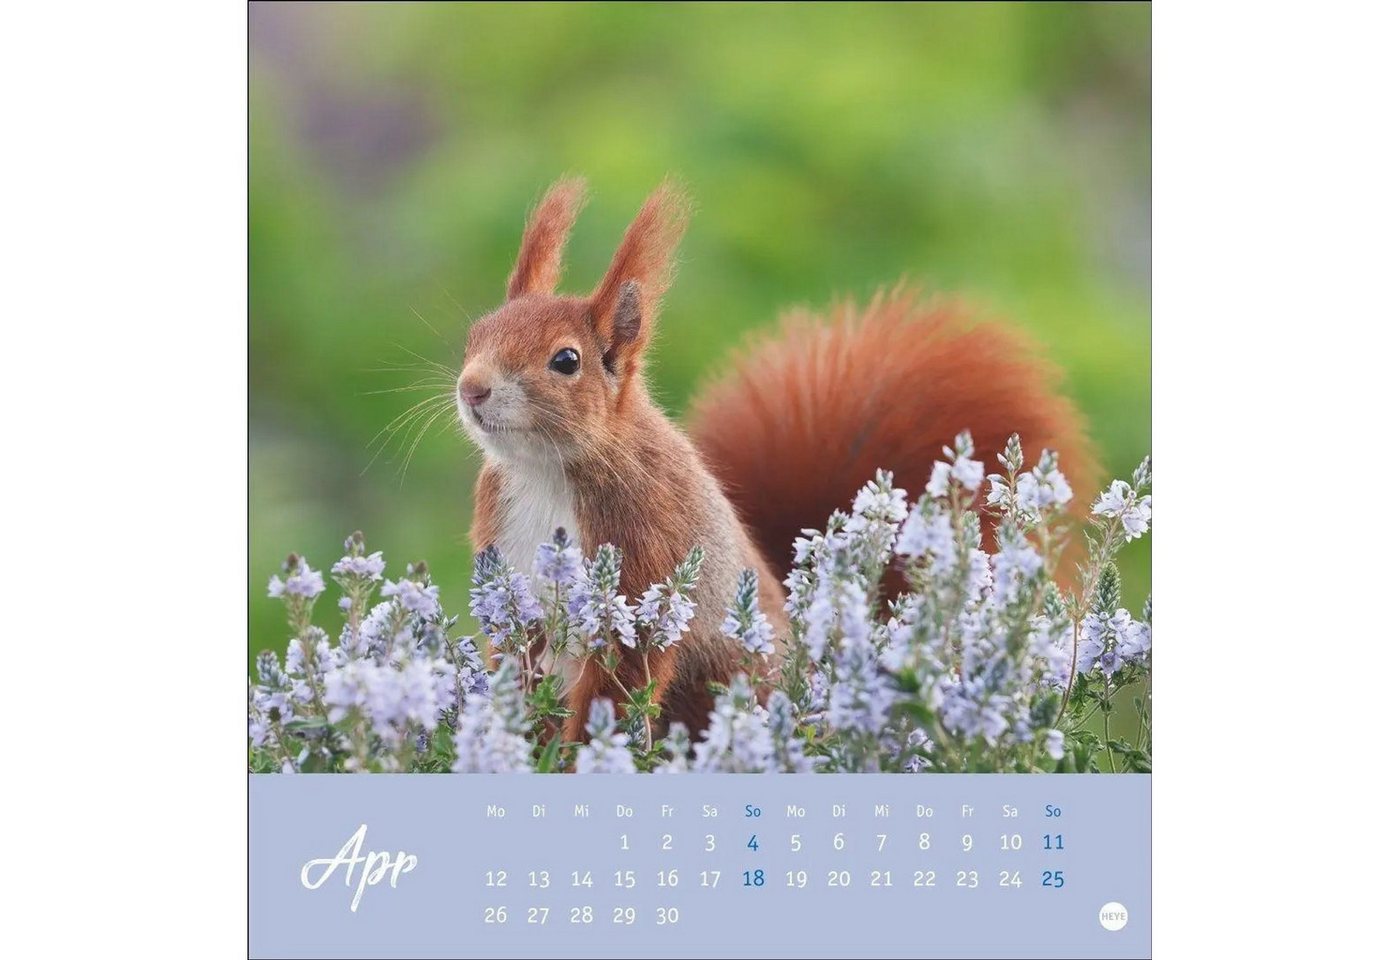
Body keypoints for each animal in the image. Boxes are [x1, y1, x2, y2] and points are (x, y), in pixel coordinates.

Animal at [455, 176, 1097, 743]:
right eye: (475, 334)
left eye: (566, 361)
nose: (472, 388)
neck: (545, 470)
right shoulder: (508, 561)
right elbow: (517, 652)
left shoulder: (646, 549)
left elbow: (622, 677)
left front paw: (575, 753)